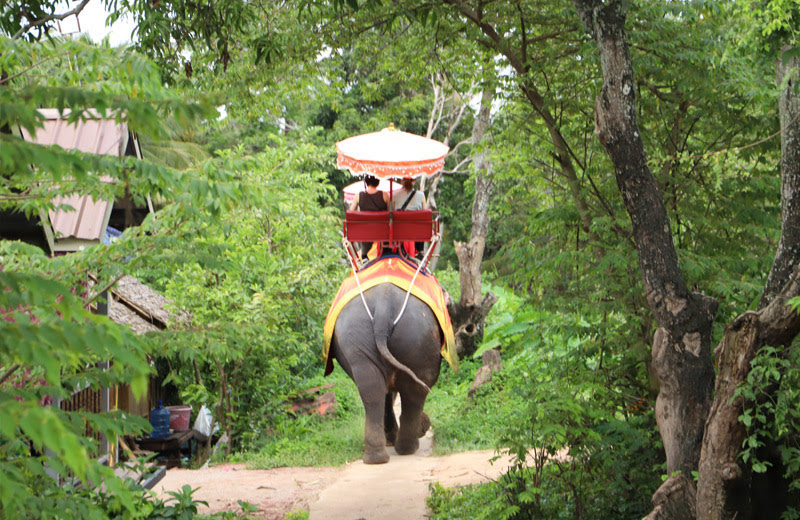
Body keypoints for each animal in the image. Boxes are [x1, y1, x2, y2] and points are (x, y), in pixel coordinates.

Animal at [330, 282, 444, 466]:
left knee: (372, 388)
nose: (426, 425)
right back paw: (408, 447)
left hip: (358, 335)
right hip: (419, 336)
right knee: (417, 390)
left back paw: (377, 458)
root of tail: (384, 306)